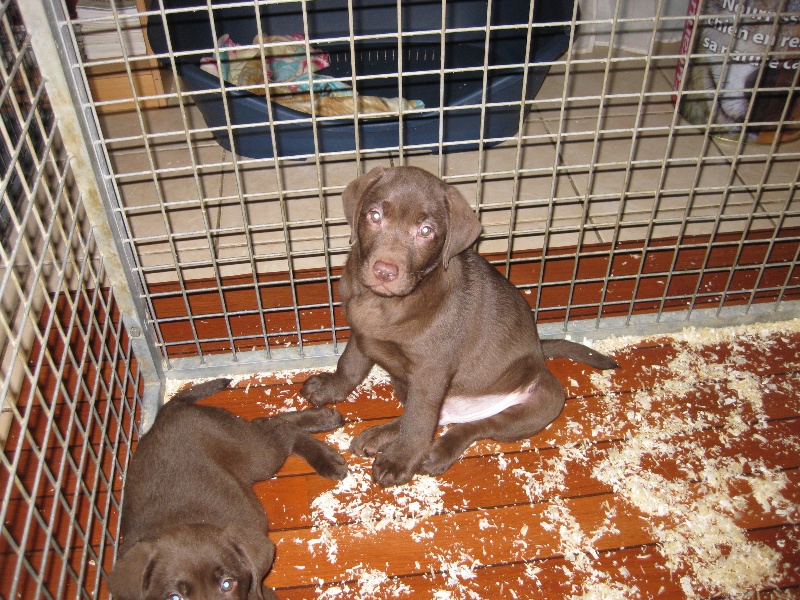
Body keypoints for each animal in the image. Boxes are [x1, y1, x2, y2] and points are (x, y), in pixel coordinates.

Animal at [109, 378, 348, 600]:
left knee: (277, 429)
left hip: (254, 454)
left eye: (227, 584)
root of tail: (165, 414)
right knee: (271, 423)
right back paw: (325, 424)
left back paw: (326, 445)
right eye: (174, 597)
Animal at [301, 166, 618, 488]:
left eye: (426, 231)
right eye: (375, 216)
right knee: (433, 417)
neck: (384, 303)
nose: (384, 272)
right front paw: (330, 387)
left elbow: (418, 423)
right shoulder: (362, 333)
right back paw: (378, 436)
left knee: (472, 426)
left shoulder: (430, 373)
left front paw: (400, 460)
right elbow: (350, 364)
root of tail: (540, 354)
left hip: (542, 403)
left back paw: (435, 454)